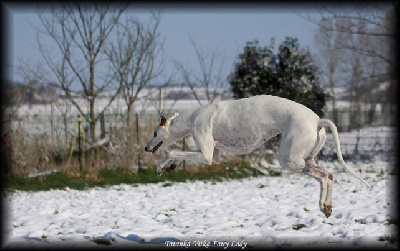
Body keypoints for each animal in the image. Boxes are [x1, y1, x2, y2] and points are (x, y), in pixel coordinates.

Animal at [145, 95, 372, 217]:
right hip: (306, 158)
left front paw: (161, 164)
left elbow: (172, 150)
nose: (146, 148)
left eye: (155, 133)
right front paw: (168, 166)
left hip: (290, 159)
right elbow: (178, 154)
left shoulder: (207, 155)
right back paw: (327, 206)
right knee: (330, 175)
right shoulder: (213, 155)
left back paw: (323, 205)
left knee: (324, 176)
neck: (192, 116)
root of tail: (318, 120)